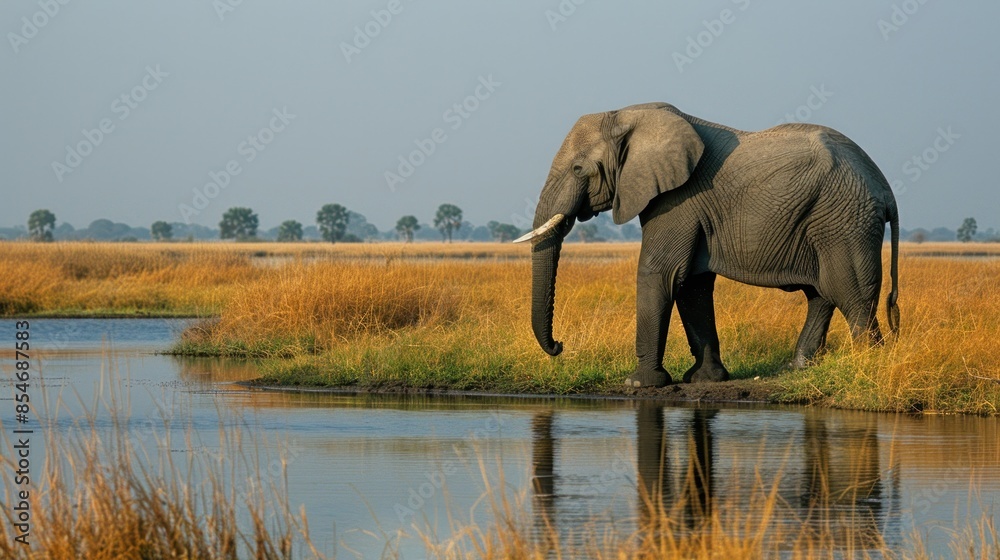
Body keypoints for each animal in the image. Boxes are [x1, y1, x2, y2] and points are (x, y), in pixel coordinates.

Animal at [514, 102, 900, 388]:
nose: (560, 346)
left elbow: (660, 273)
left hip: (844, 219)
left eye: (578, 170)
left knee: (850, 294)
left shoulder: (678, 199)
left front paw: (639, 383)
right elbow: (692, 284)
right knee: (821, 294)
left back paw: (868, 369)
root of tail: (885, 188)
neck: (630, 114)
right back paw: (799, 369)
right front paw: (706, 379)